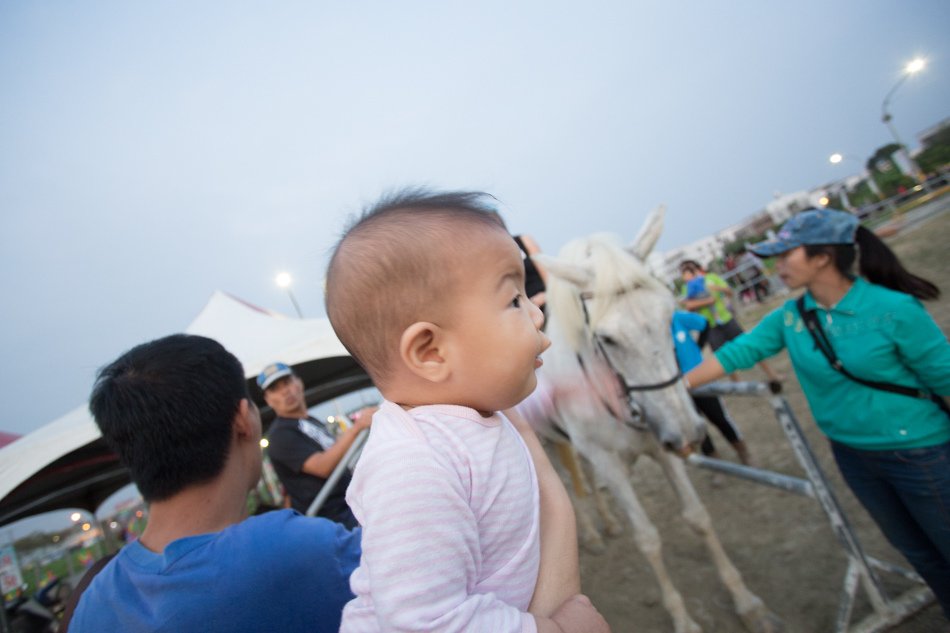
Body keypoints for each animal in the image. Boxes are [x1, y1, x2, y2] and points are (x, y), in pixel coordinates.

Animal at [536, 207, 780, 632]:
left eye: (669, 316)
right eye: (607, 338)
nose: (689, 435)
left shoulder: (660, 444)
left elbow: (697, 517)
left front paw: (745, 600)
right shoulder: (611, 462)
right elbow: (648, 540)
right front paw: (682, 618)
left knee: (585, 480)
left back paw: (608, 523)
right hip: (548, 442)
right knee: (565, 484)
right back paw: (593, 534)